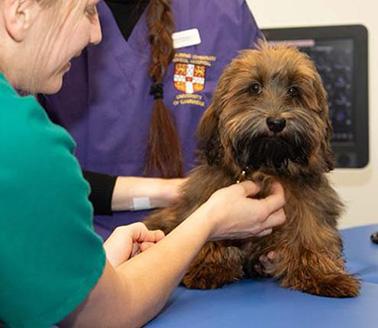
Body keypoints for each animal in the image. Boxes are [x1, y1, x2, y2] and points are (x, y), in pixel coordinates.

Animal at [144, 43, 360, 298]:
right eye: (255, 88)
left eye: (294, 91)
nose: (276, 122)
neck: (267, 162)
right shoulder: (205, 194)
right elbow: (208, 234)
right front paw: (209, 265)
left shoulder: (311, 203)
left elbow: (312, 234)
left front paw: (323, 275)